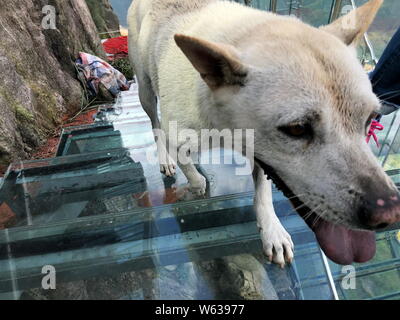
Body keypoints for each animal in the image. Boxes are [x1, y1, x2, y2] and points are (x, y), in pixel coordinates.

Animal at [129, 0, 400, 266]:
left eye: (370, 119)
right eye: (297, 128)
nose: (390, 212)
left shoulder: (261, 154)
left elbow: (263, 190)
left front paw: (272, 231)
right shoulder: (177, 136)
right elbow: (192, 172)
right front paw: (195, 187)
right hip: (144, 88)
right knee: (153, 121)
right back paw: (164, 159)